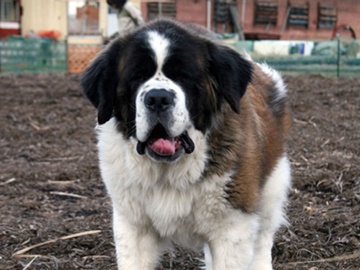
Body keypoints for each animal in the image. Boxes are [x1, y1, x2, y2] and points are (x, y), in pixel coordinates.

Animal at [81, 19, 292, 270]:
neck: (171, 170)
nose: (158, 98)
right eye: (136, 76)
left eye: (184, 76)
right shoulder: (133, 224)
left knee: (263, 240)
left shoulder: (233, 227)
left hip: (271, 191)